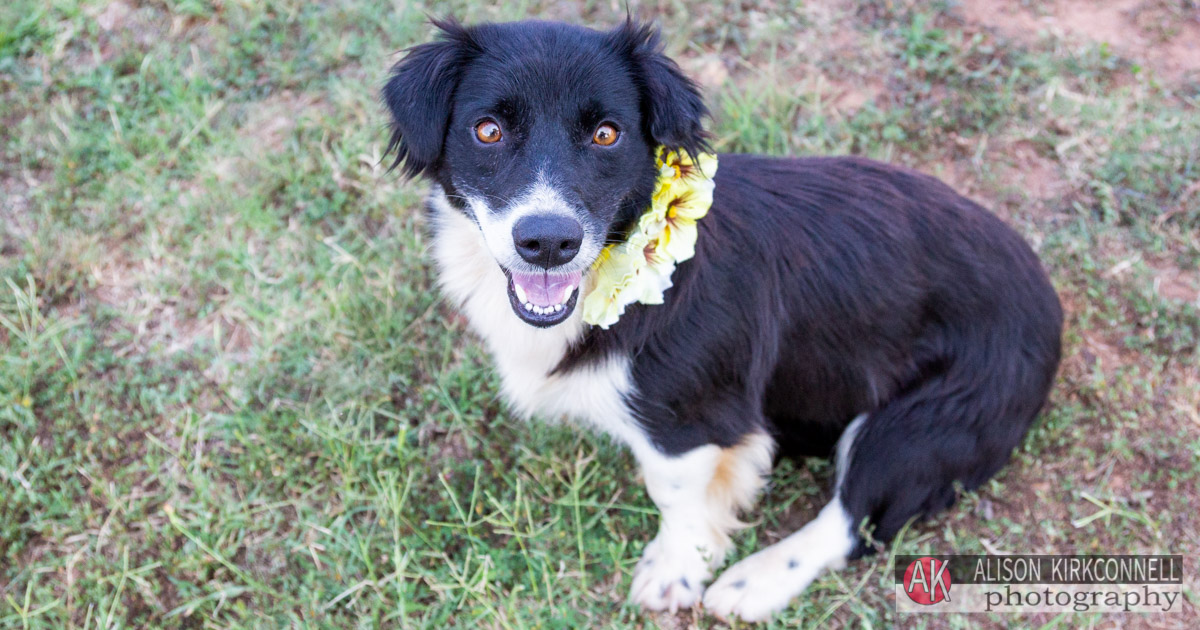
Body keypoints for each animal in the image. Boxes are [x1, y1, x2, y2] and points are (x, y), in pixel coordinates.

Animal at [381, 18, 1060, 619]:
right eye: (488, 130)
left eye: (606, 134)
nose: (548, 242)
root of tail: (1048, 297)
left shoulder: (693, 418)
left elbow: (675, 493)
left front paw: (676, 570)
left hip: (928, 422)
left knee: (857, 519)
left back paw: (754, 583)